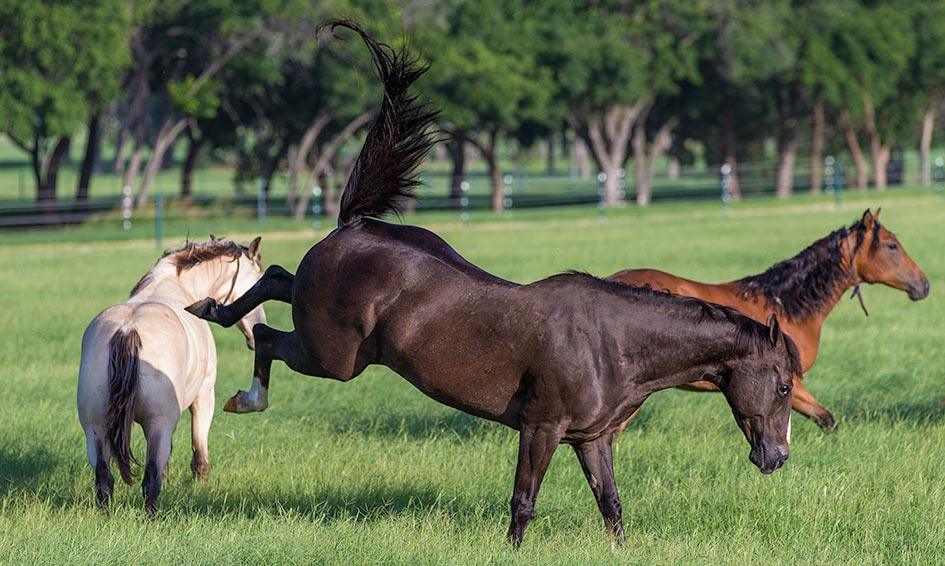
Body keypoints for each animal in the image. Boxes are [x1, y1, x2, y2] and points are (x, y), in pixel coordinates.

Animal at [77, 237, 267, 515]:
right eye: (256, 284)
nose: (255, 335)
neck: (173, 287)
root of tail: (127, 330)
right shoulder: (204, 396)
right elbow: (199, 453)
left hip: (95, 428)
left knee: (104, 478)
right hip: (159, 424)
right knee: (150, 479)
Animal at [185, 21, 802, 546]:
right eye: (783, 386)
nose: (776, 458)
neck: (614, 343)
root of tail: (354, 226)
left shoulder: (593, 439)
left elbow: (611, 504)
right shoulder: (541, 428)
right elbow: (524, 502)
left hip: (324, 333)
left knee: (276, 278)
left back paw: (212, 308)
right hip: (334, 357)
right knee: (269, 337)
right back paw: (243, 384)